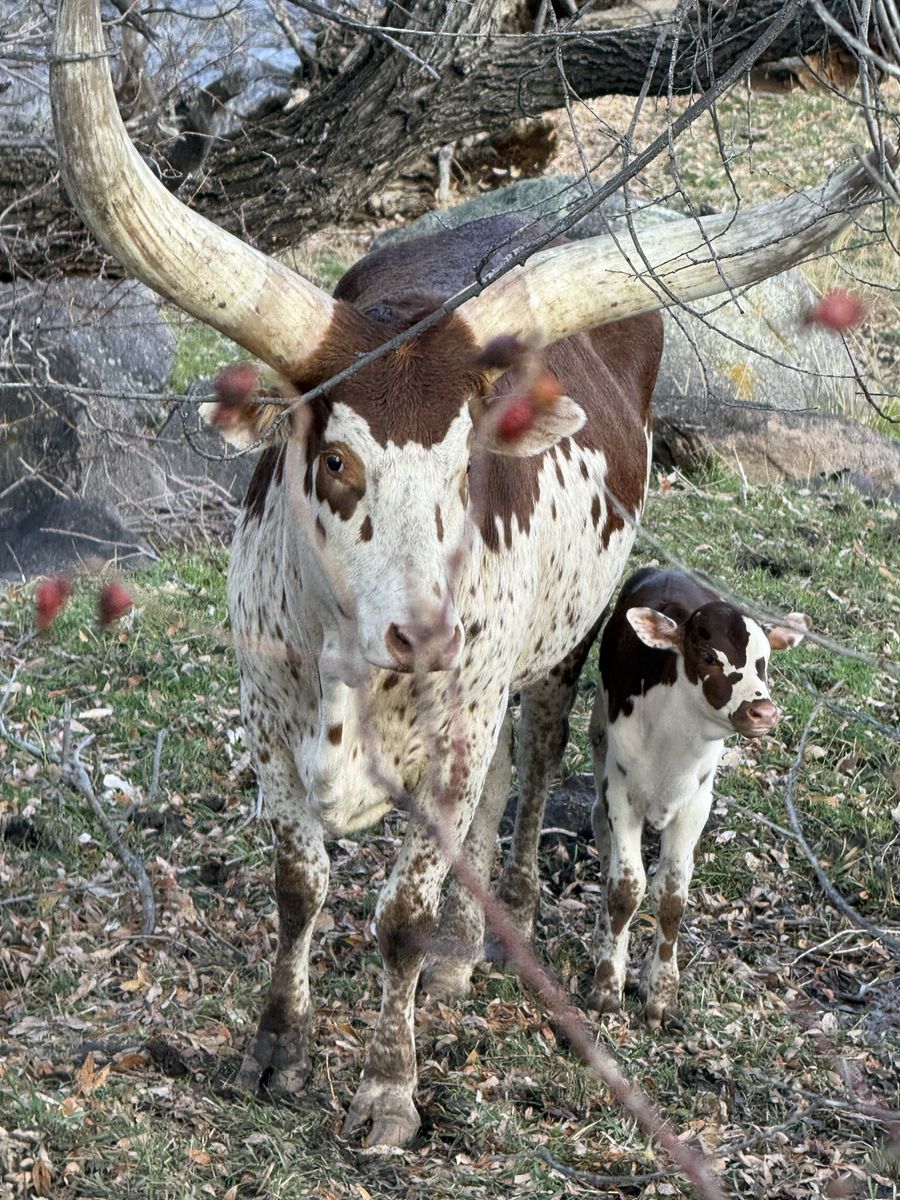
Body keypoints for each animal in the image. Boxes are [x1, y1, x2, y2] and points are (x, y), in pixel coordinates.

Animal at [587, 568, 809, 1027]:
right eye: (708, 656)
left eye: (764, 661)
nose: (764, 713)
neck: (671, 743)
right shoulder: (622, 792)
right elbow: (626, 888)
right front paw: (606, 985)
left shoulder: (696, 802)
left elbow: (672, 895)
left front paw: (660, 994)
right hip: (599, 731)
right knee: (601, 827)